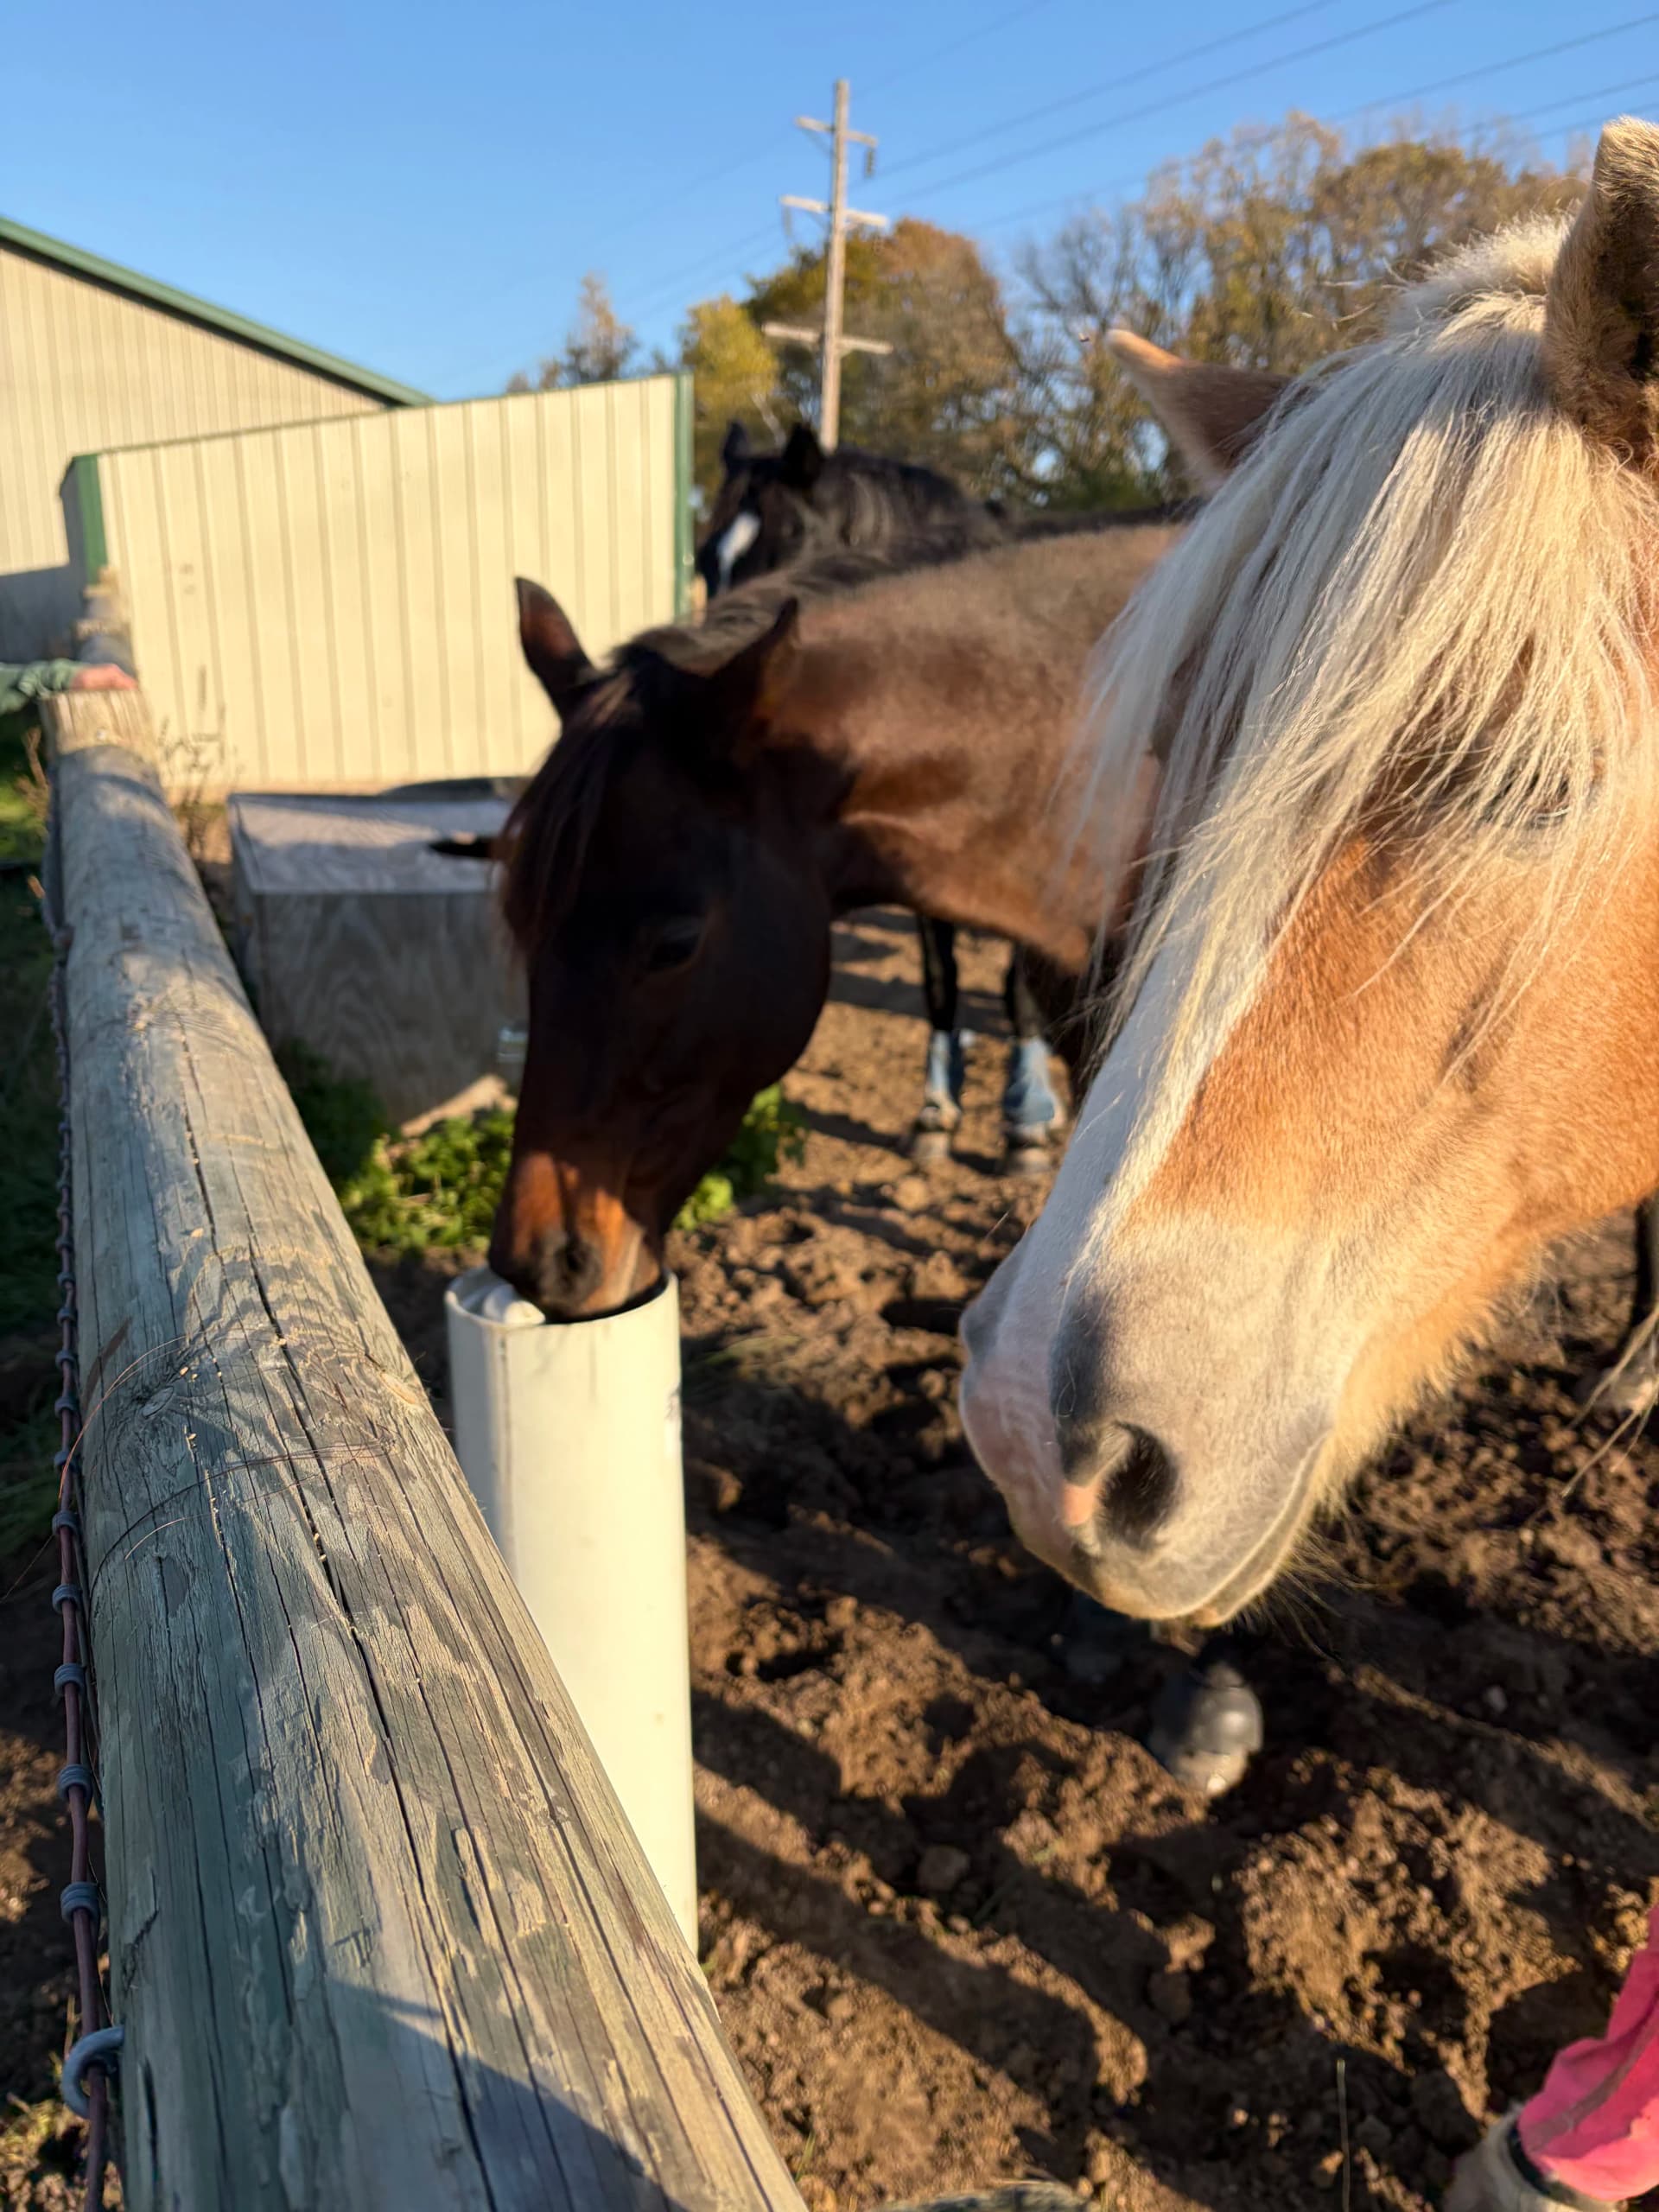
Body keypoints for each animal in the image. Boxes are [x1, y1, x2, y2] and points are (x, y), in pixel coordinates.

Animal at [698, 420, 1065, 1173]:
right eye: (703, 561)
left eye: (787, 556)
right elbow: (939, 980)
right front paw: (935, 1116)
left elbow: (1017, 987)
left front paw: (1027, 1122)